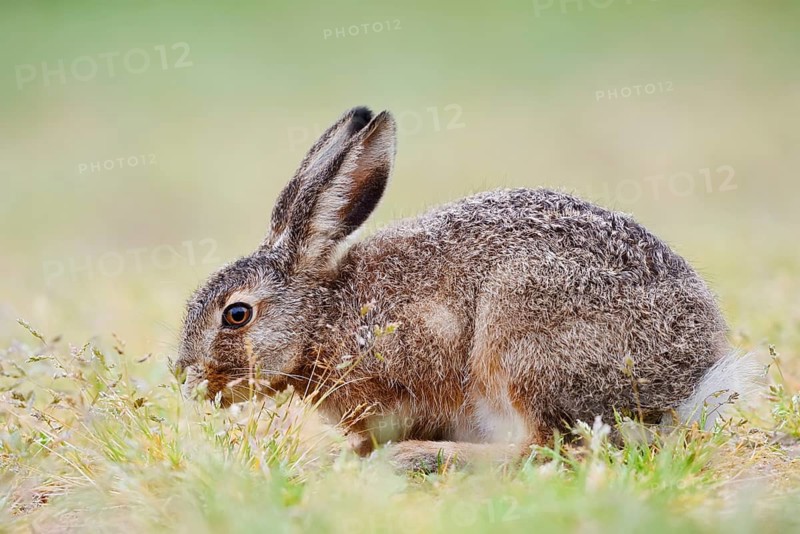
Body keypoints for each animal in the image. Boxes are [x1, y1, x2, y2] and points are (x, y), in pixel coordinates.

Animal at [176, 106, 756, 472]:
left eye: (236, 315)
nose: (186, 377)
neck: (321, 317)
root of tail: (685, 389)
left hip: (521, 346)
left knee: (551, 447)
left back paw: (420, 458)